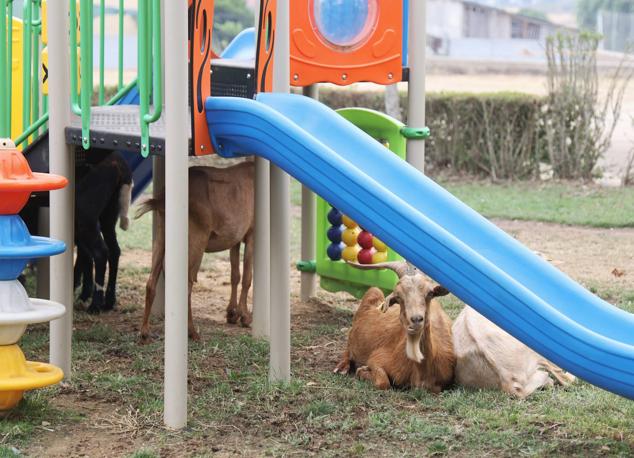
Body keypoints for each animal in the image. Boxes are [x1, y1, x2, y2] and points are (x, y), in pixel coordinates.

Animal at [136, 163, 254, 342]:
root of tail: (161, 199)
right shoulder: (252, 234)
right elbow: (247, 277)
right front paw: (245, 317)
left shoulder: (235, 239)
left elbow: (235, 275)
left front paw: (232, 313)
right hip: (196, 240)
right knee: (186, 286)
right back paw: (192, 332)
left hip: (161, 236)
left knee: (151, 282)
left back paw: (144, 332)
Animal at [336, 262, 454, 394]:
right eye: (398, 296)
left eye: (430, 293)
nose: (416, 319)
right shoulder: (377, 358)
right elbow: (383, 383)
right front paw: (362, 370)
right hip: (372, 295)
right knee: (348, 348)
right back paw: (341, 367)